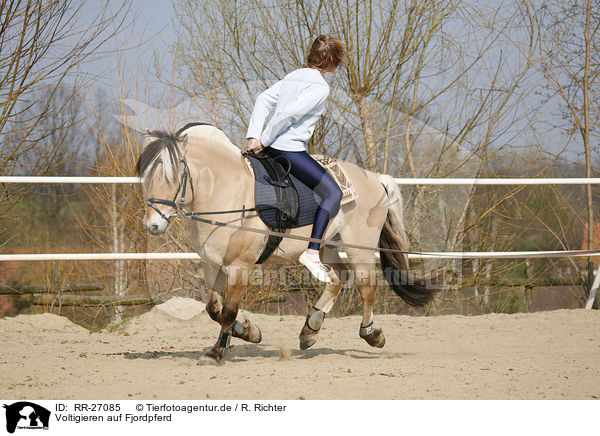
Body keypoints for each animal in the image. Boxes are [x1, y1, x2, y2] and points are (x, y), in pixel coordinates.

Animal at [136, 124, 436, 362]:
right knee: (338, 278)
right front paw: (246, 332)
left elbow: (228, 311)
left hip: (358, 248)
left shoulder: (241, 266)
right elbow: (214, 310)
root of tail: (373, 177)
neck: (228, 193)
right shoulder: (213, 266)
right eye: (147, 177)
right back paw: (310, 329)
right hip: (327, 245)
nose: (152, 225)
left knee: (366, 286)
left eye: (172, 177)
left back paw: (371, 334)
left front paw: (218, 351)